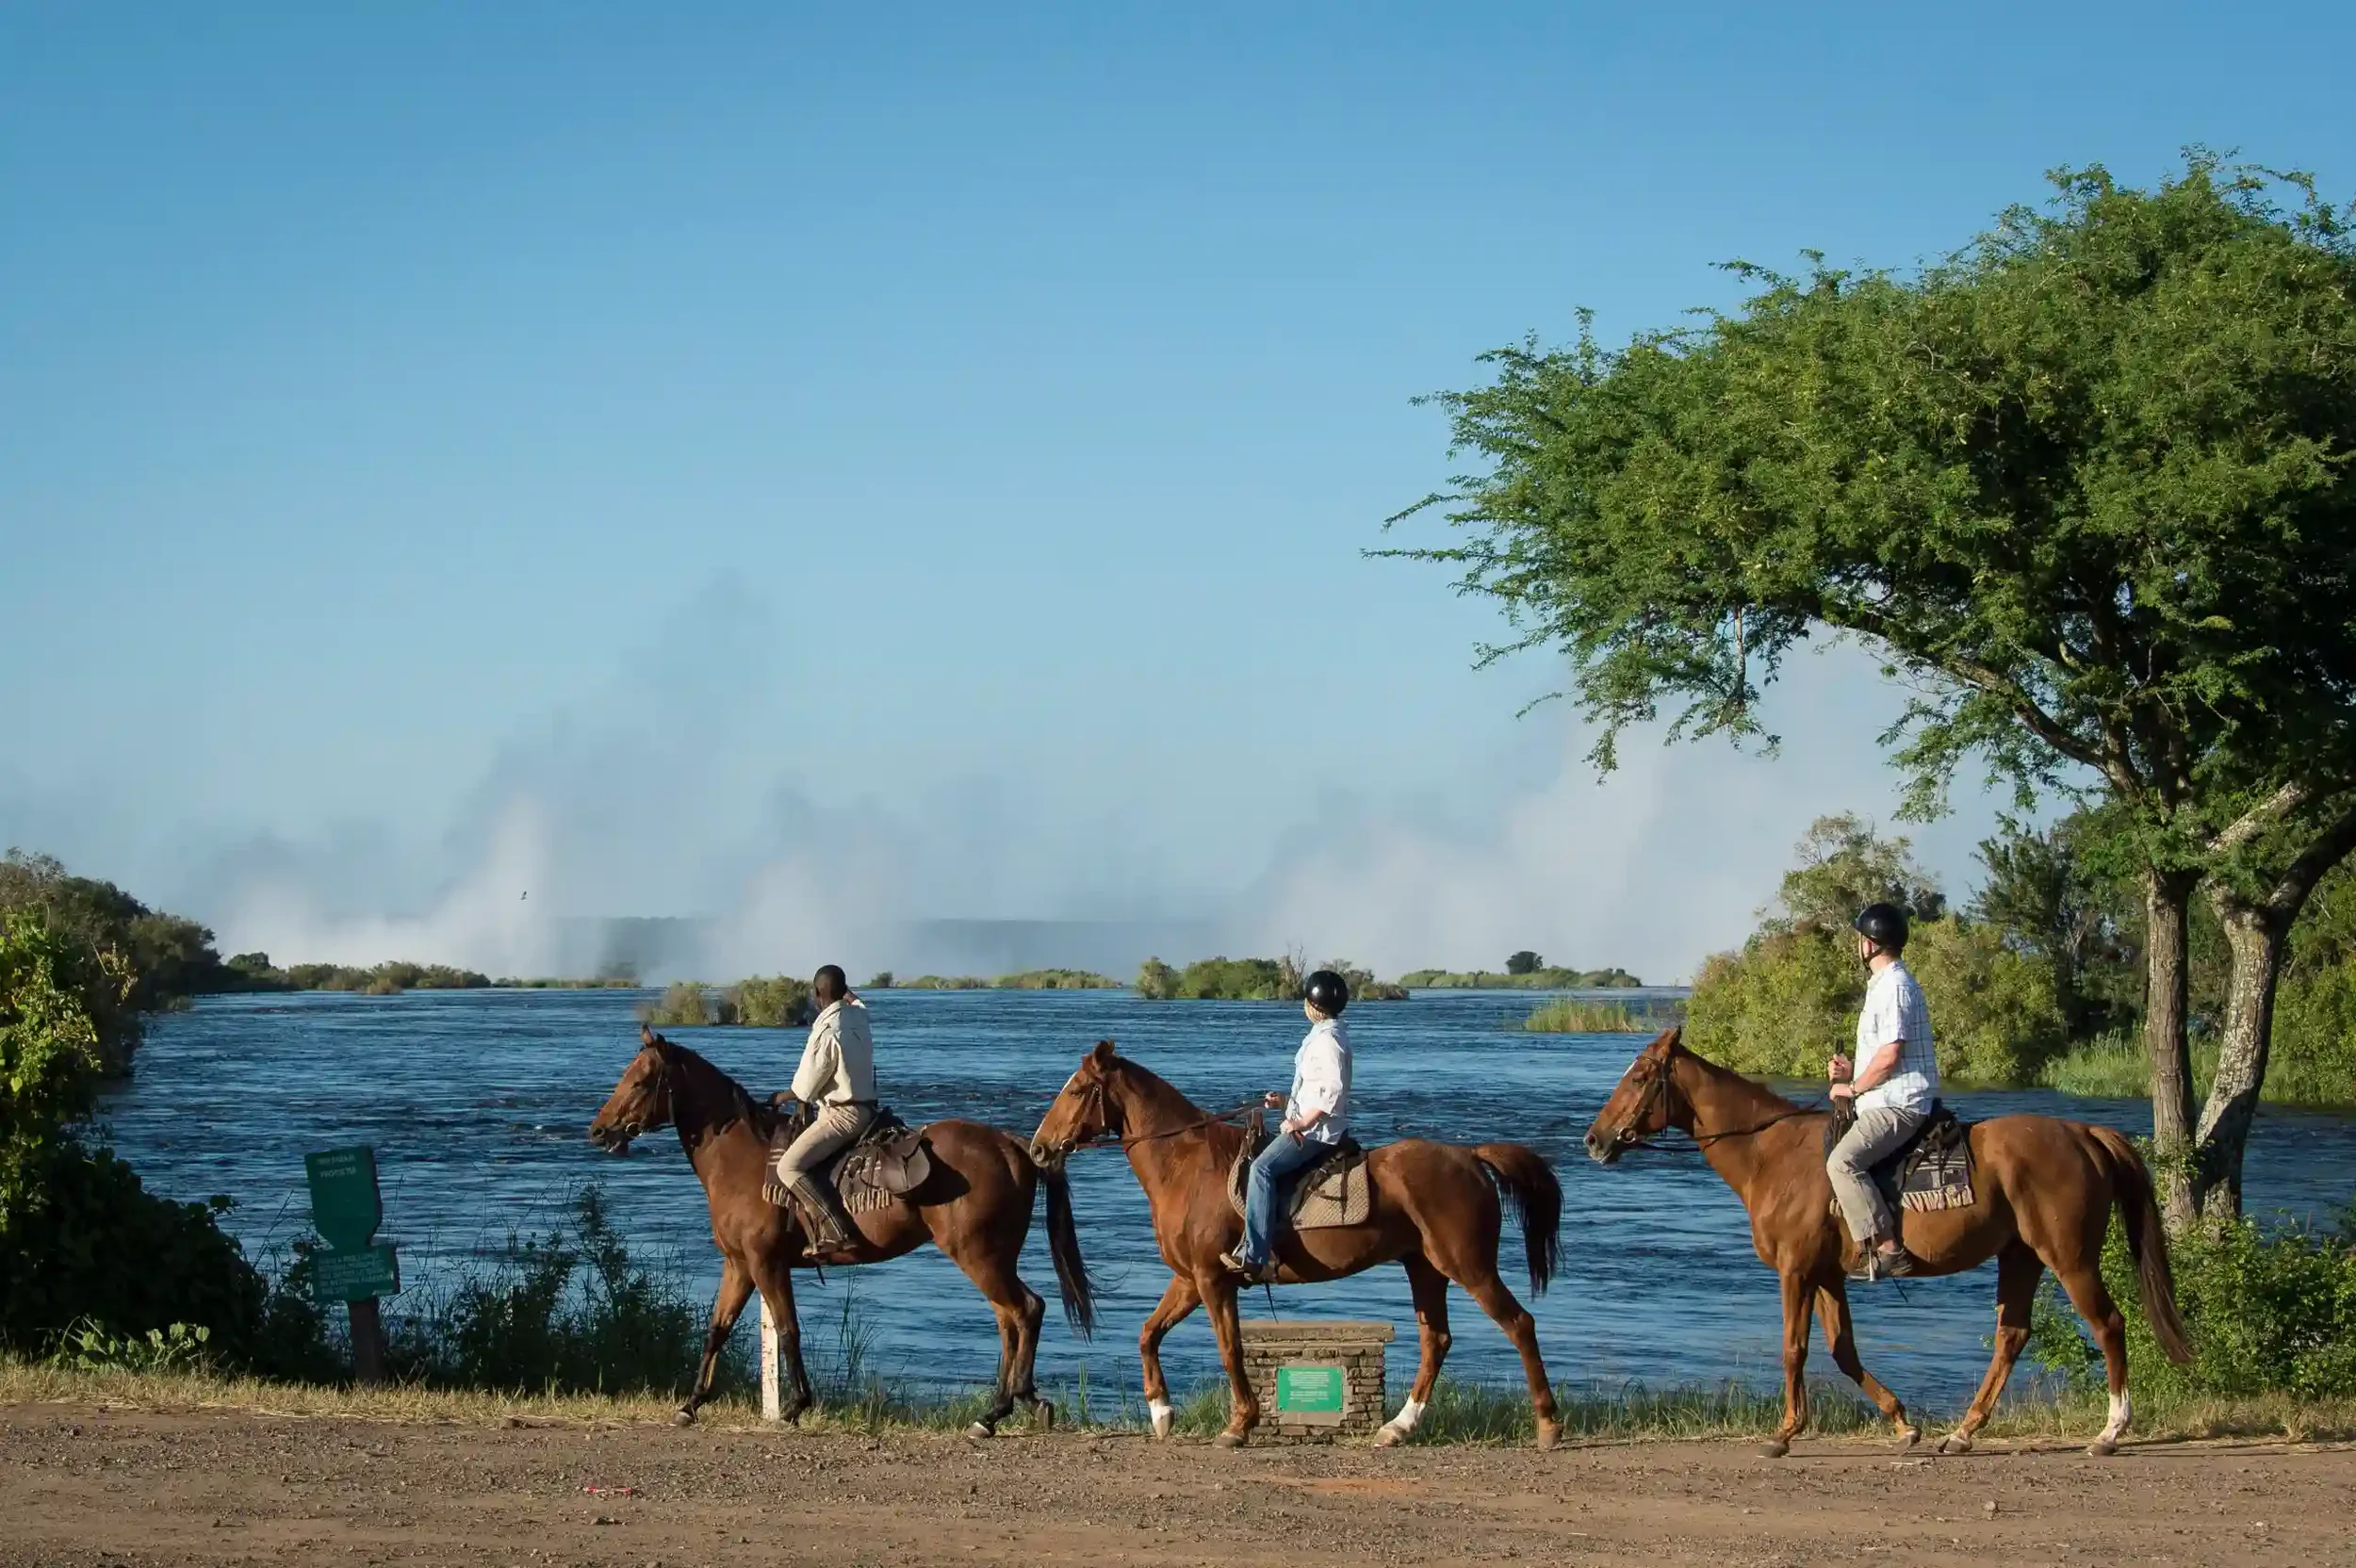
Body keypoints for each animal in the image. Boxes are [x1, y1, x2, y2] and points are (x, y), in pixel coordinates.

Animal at [587, 1025, 1094, 1436]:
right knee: (1011, 1318)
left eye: (639, 1081)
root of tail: (1010, 1144)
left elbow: (787, 1329)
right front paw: (691, 1404)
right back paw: (1011, 1405)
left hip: (979, 1256)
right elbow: (718, 1329)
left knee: (1024, 1310)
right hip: (993, 1258)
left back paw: (1003, 1410)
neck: (741, 1159)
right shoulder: (739, 1264)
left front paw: (795, 1406)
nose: (598, 1130)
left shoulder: (766, 1264)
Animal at [1028, 1039, 1566, 1449]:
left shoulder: (1211, 1278)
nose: (1038, 1148)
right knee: (1437, 1339)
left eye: (1077, 1090)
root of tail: (1470, 1157)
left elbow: (1229, 1346)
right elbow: (1148, 1334)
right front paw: (1162, 1412)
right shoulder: (1189, 1278)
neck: (1186, 1165)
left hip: (1468, 1265)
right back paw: (1398, 1427)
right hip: (1425, 1267)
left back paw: (1547, 1424)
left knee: (1519, 1325)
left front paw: (1239, 1425)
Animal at [1583, 1027, 2192, 1457]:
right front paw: (1903, 1424)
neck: (1771, 1155)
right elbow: (1842, 1350)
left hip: (2068, 1257)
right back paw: (1963, 1433)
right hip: (2020, 1256)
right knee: (2012, 1336)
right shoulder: (1827, 1274)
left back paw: (2110, 1432)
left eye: (1640, 1076)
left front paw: (1783, 1434)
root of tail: (2085, 1133)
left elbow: (1794, 1349)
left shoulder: (1796, 1270)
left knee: (2107, 1325)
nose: (1594, 1139)